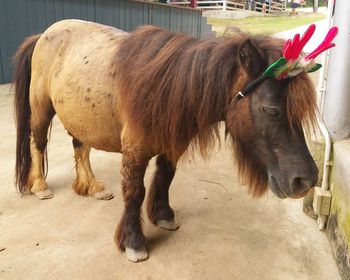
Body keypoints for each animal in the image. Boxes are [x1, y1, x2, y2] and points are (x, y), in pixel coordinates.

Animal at [13, 19, 318, 262]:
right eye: (271, 110)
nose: (306, 180)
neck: (162, 89)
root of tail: (43, 34)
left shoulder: (172, 148)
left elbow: (165, 177)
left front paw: (163, 215)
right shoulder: (134, 152)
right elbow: (135, 192)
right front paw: (134, 242)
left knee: (80, 147)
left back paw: (92, 186)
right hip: (42, 108)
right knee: (37, 142)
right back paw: (40, 186)